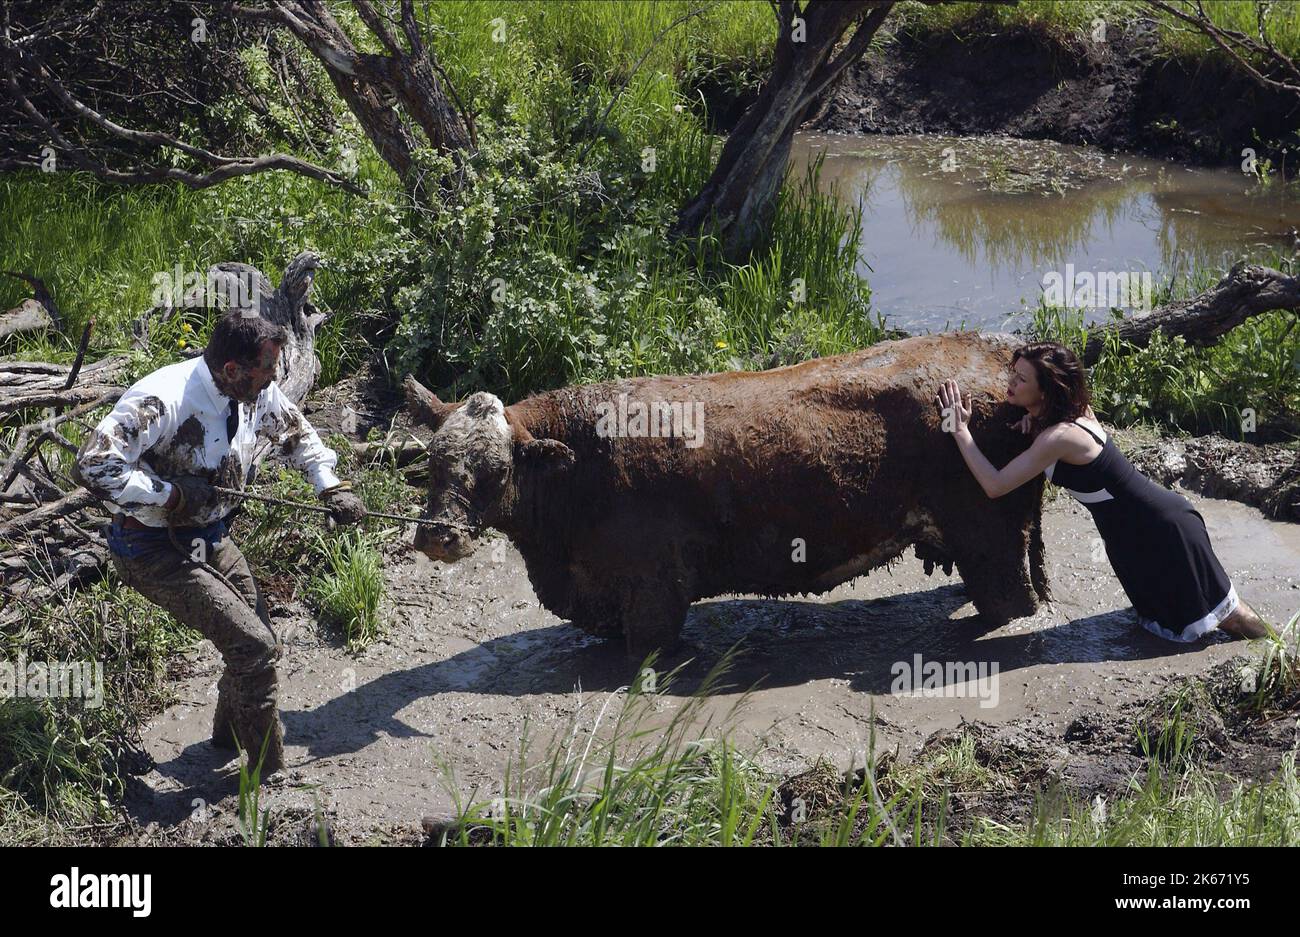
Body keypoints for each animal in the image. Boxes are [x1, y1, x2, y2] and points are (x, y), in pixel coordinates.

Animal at [405, 331, 1045, 657]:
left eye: (493, 471)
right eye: (434, 465)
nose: (437, 536)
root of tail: (999, 348)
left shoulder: (654, 587)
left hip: (988, 533)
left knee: (1011, 603)